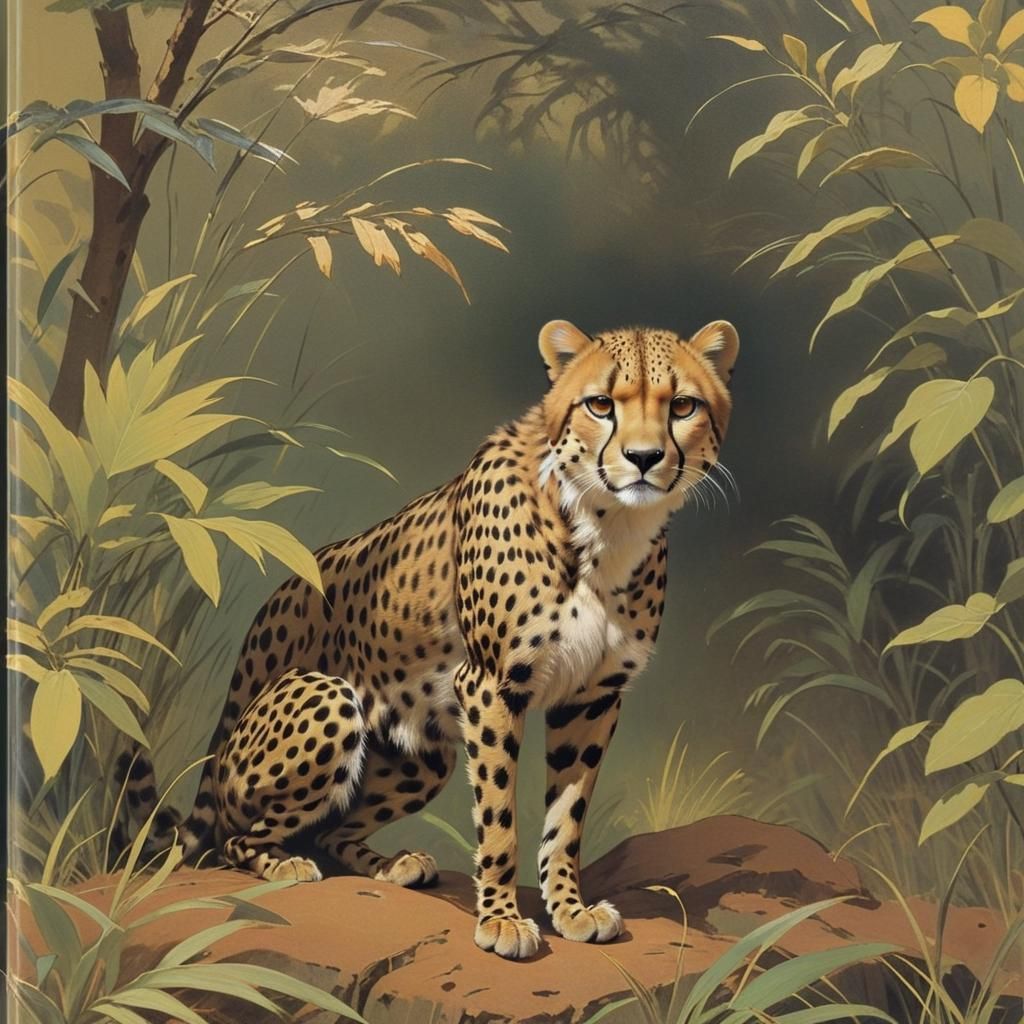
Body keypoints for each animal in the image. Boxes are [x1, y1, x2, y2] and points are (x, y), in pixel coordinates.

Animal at [123, 317, 739, 960]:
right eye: (600, 404)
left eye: (683, 406)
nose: (644, 458)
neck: (607, 524)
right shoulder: (490, 686)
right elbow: (499, 817)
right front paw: (501, 921)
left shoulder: (591, 698)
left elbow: (567, 817)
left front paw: (569, 909)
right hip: (329, 696)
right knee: (232, 838)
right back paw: (282, 864)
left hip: (427, 754)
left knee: (327, 830)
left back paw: (389, 865)